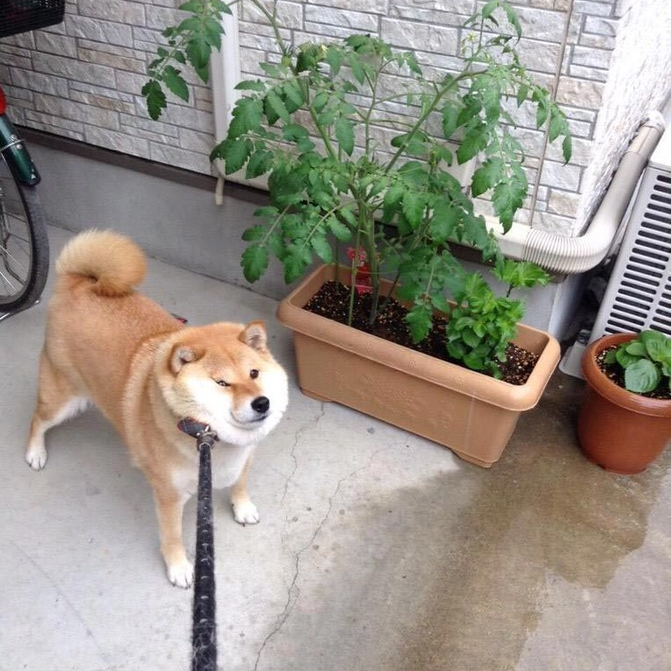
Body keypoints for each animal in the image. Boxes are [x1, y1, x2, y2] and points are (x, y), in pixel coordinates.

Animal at [26, 231, 288, 588]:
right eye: (222, 383)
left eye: (254, 374)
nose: (262, 402)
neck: (211, 440)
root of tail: (78, 283)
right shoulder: (169, 495)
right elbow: (173, 536)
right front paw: (179, 566)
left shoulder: (244, 458)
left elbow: (239, 483)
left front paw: (242, 507)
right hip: (63, 398)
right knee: (38, 419)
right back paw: (35, 452)